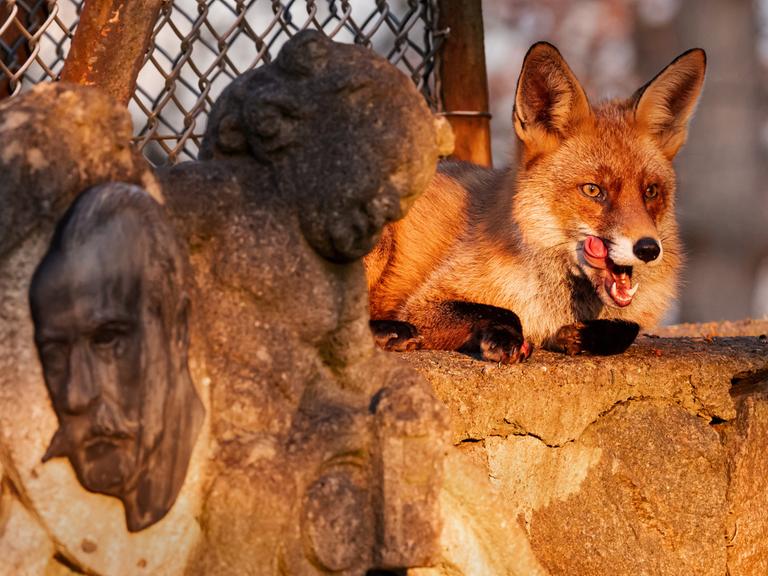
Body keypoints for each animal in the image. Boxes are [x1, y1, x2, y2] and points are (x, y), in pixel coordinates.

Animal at [366, 41, 708, 364]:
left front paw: (584, 336)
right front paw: (505, 338)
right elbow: (501, 311)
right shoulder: (422, 304)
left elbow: (630, 327)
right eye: (593, 190)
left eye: (650, 191)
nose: (649, 249)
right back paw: (387, 331)